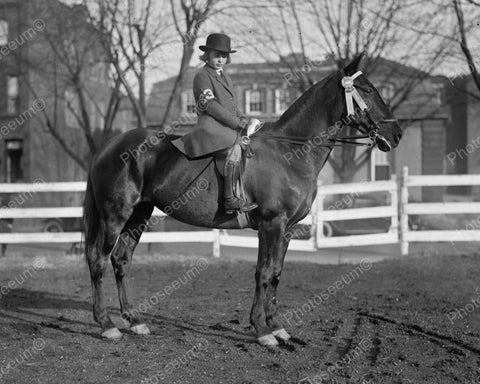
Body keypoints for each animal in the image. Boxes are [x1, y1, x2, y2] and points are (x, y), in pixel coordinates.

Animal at [82, 54, 402, 344]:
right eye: (368, 90)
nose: (397, 133)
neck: (289, 152)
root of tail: (110, 145)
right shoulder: (271, 224)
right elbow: (263, 272)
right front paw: (261, 330)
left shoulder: (287, 229)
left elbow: (276, 273)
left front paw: (276, 326)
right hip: (116, 214)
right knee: (99, 259)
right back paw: (106, 324)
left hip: (139, 214)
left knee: (121, 260)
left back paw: (134, 320)